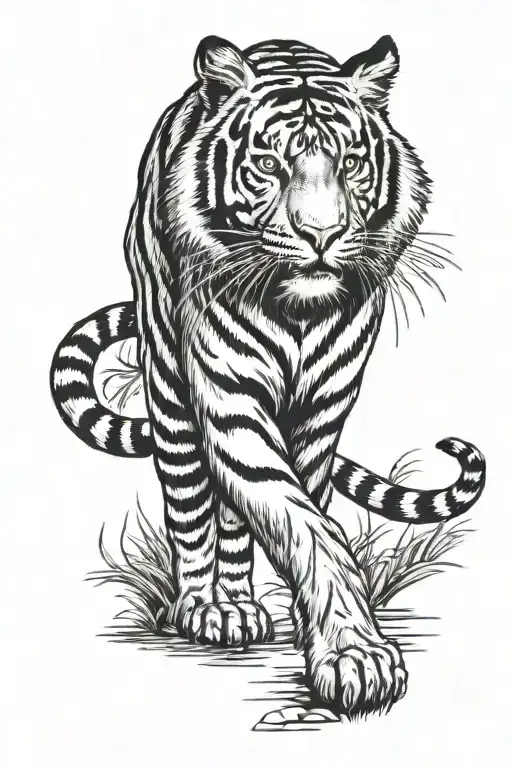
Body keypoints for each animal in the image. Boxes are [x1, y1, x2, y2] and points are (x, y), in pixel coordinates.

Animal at [50, 35, 486, 717]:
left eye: (351, 163)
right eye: (269, 163)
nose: (322, 233)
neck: (298, 311)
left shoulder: (321, 412)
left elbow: (300, 515)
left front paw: (324, 635)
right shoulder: (229, 401)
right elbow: (300, 524)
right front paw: (356, 659)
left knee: (232, 524)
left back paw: (241, 606)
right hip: (170, 390)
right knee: (192, 503)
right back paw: (208, 607)